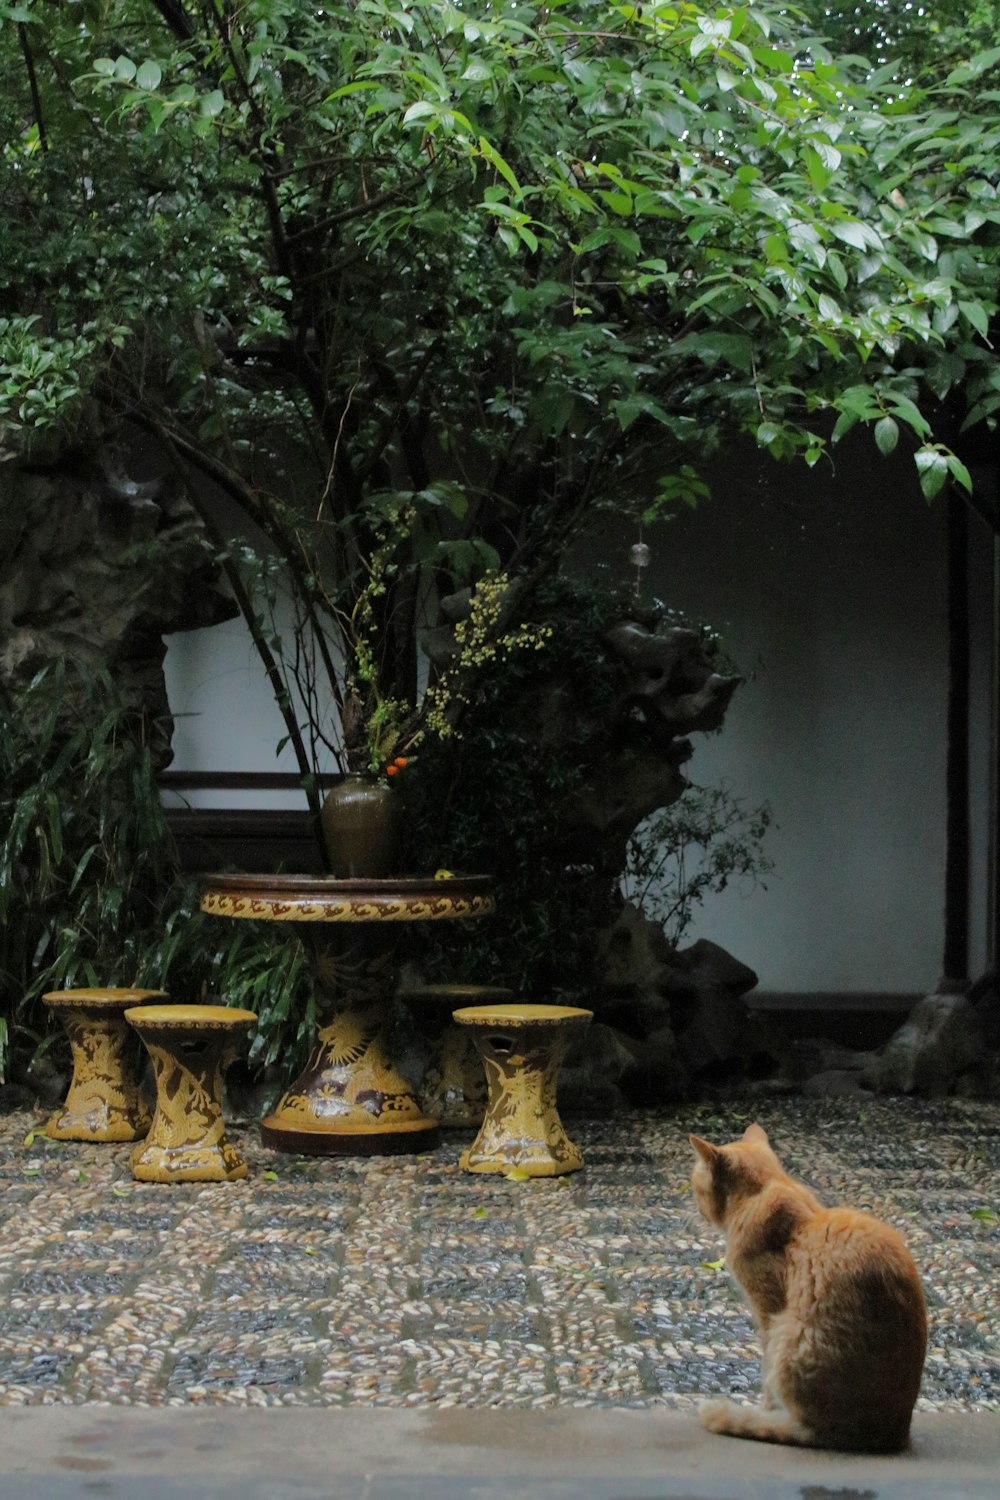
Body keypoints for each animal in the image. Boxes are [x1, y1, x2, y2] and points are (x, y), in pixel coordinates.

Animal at [689, 1128, 929, 1452]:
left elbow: (765, 1374)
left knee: (807, 1430)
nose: (697, 1209)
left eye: (696, 1186)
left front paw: (765, 1409)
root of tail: (895, 1433)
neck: (760, 1193)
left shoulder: (768, 1310)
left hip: (790, 1334)